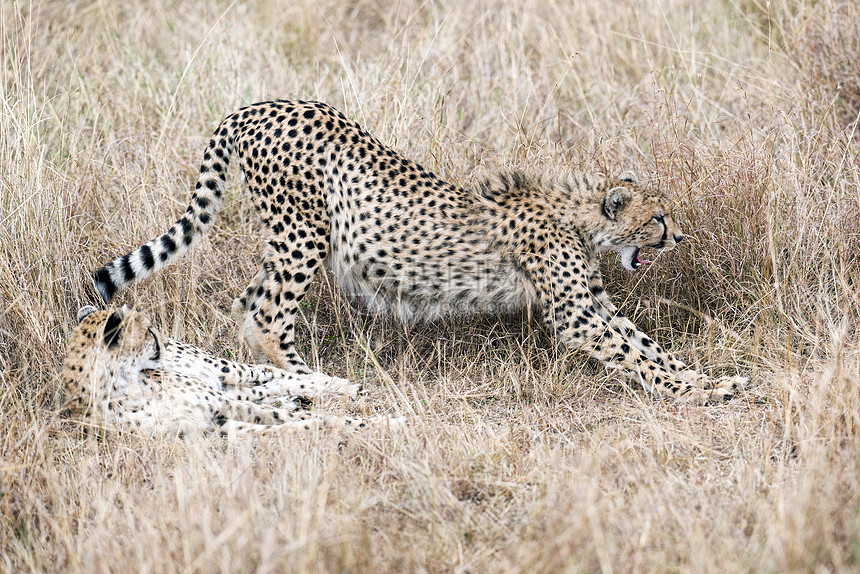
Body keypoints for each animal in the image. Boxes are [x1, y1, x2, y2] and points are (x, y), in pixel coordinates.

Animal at [60, 306, 370, 436]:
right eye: (148, 330)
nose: (164, 340)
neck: (127, 387)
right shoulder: (210, 426)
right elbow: (286, 425)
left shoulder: (220, 405)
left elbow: (308, 418)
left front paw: (374, 424)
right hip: (222, 386)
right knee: (263, 388)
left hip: (222, 368)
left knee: (272, 372)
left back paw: (343, 386)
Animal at [92, 99, 744, 404]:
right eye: (657, 219)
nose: (678, 237)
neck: (576, 212)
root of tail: (255, 106)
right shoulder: (576, 313)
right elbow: (637, 353)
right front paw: (695, 392)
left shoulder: (594, 303)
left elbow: (645, 344)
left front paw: (710, 380)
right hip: (305, 234)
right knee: (268, 315)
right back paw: (314, 383)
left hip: (283, 240)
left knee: (248, 304)